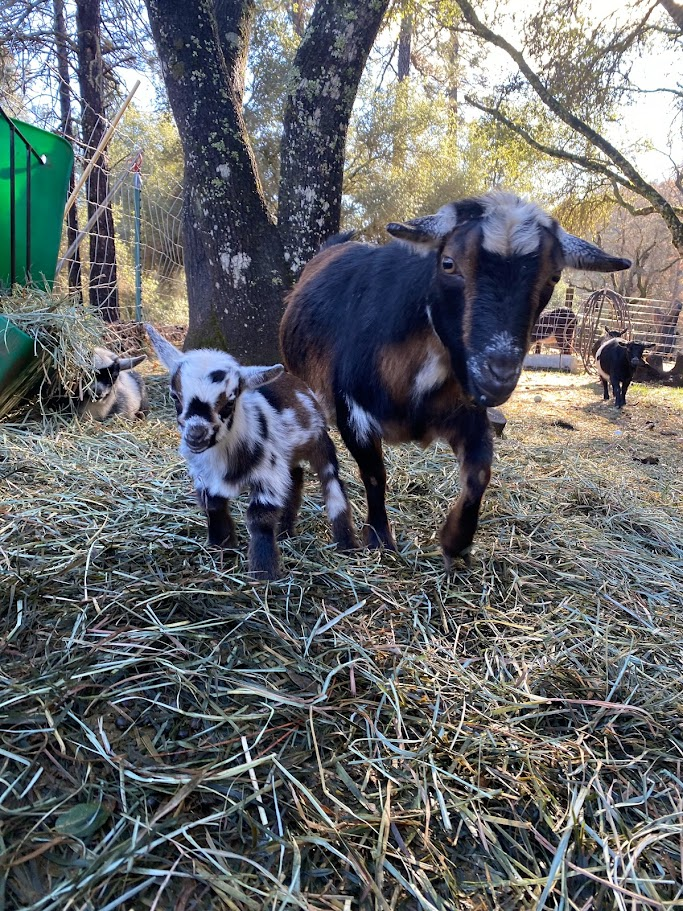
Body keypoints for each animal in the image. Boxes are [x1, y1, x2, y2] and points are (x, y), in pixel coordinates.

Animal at [145, 324, 356, 580]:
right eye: (175, 396)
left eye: (229, 402)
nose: (196, 436)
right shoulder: (204, 477)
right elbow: (213, 507)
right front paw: (221, 548)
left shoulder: (268, 475)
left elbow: (260, 518)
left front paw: (264, 573)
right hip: (288, 456)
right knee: (295, 477)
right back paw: (285, 531)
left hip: (319, 442)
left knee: (332, 482)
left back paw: (346, 545)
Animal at [280, 190, 631, 566]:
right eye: (448, 263)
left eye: (552, 277)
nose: (499, 374)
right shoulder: (353, 411)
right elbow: (374, 475)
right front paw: (379, 539)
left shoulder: (467, 412)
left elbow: (479, 474)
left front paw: (455, 540)